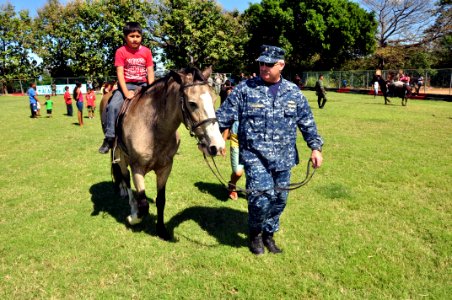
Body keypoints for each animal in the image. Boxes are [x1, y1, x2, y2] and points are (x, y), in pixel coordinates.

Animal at [100, 65, 225, 239]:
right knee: (125, 178)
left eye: (214, 100)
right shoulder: (137, 168)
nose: (217, 146)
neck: (153, 129)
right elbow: (143, 204)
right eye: (192, 103)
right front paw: (133, 218)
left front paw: (161, 230)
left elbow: (161, 200)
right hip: (121, 155)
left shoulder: (165, 168)